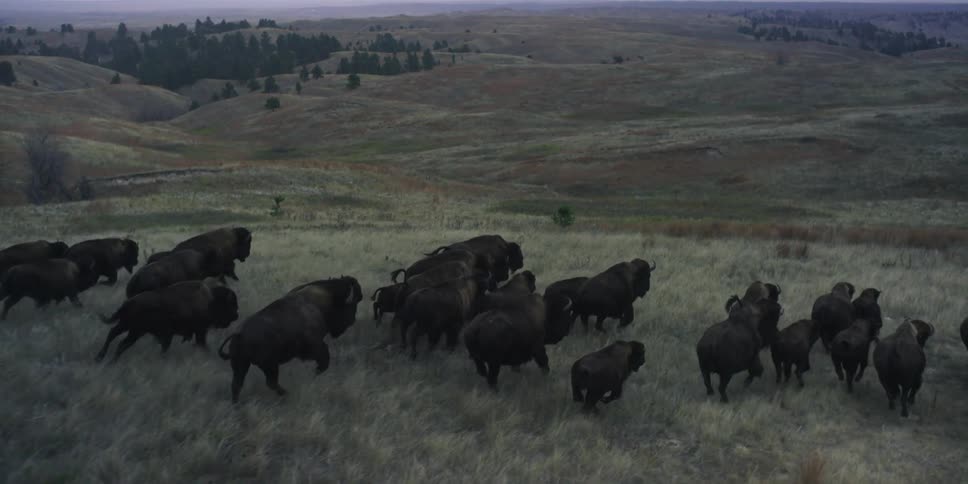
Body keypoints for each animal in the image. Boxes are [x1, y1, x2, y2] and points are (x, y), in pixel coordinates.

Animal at [96, 279, 239, 362]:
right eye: (231, 304)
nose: (236, 315)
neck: (211, 300)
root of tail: (128, 303)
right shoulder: (199, 331)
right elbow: (201, 343)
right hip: (131, 328)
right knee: (116, 337)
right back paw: (103, 358)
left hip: (132, 330)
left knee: (118, 340)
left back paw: (106, 359)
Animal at [218, 276, 360, 403]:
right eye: (352, 305)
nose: (353, 320)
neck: (324, 300)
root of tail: (240, 333)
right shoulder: (316, 347)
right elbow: (324, 362)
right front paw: (314, 374)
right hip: (269, 365)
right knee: (270, 382)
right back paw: (287, 394)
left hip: (242, 365)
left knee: (237, 385)